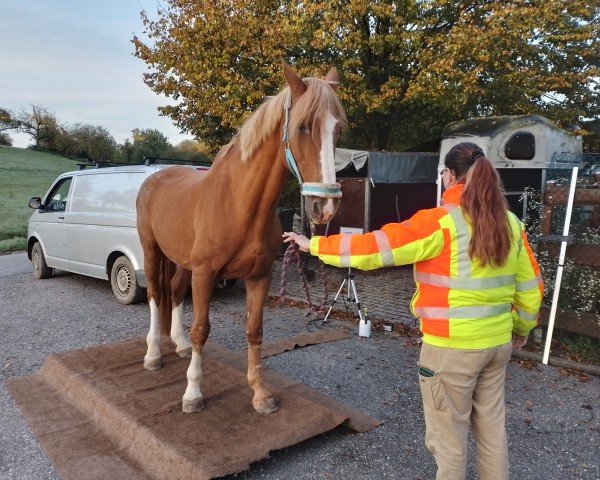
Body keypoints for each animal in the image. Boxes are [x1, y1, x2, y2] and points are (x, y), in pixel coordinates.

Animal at [134, 62, 344, 414]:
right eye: (302, 127)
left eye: (338, 130)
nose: (324, 207)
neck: (239, 205)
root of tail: (155, 179)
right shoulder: (205, 274)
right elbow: (201, 330)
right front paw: (193, 394)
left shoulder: (259, 276)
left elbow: (254, 331)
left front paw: (260, 394)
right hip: (152, 252)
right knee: (154, 295)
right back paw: (152, 356)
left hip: (182, 261)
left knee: (174, 292)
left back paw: (178, 345)